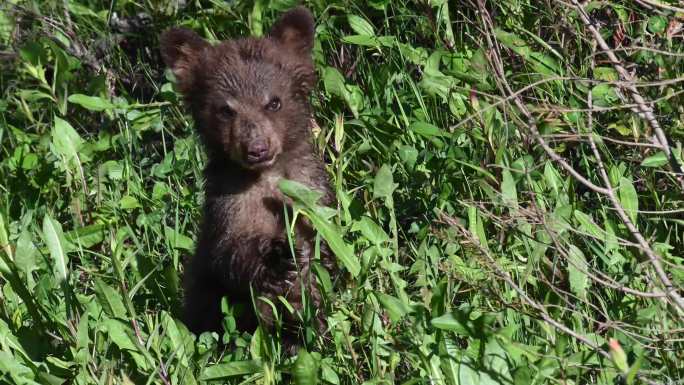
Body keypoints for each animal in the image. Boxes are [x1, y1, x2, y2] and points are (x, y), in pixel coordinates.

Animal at [160, 7, 332, 340]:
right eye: (226, 109)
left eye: (274, 101)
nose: (257, 148)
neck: (266, 178)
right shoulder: (227, 205)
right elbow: (229, 253)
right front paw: (276, 262)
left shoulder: (310, 189)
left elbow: (322, 244)